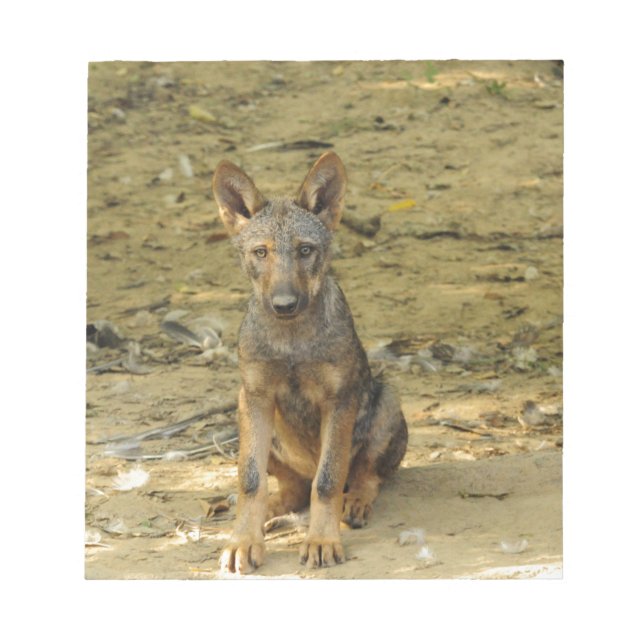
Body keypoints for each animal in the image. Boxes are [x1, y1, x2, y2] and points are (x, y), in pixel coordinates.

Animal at [212, 152, 407, 573]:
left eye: (305, 250)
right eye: (261, 252)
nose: (284, 304)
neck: (292, 342)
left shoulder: (339, 401)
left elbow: (328, 480)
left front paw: (321, 540)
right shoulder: (255, 396)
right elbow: (249, 480)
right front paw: (243, 541)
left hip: (386, 400)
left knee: (363, 476)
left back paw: (355, 503)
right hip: (244, 415)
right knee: (292, 488)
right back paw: (270, 513)